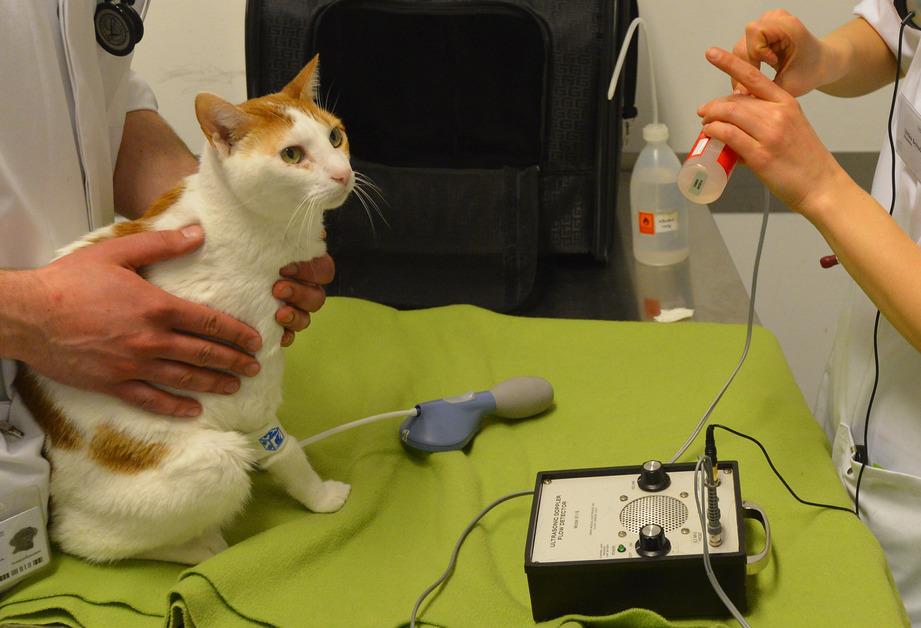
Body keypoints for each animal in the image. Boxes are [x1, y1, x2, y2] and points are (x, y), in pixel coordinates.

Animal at [18, 55, 356, 564]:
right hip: (216, 463)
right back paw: (201, 546)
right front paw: (319, 498)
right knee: (84, 540)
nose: (342, 174)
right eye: (293, 155)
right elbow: (284, 450)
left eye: (335, 137)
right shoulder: (247, 383)